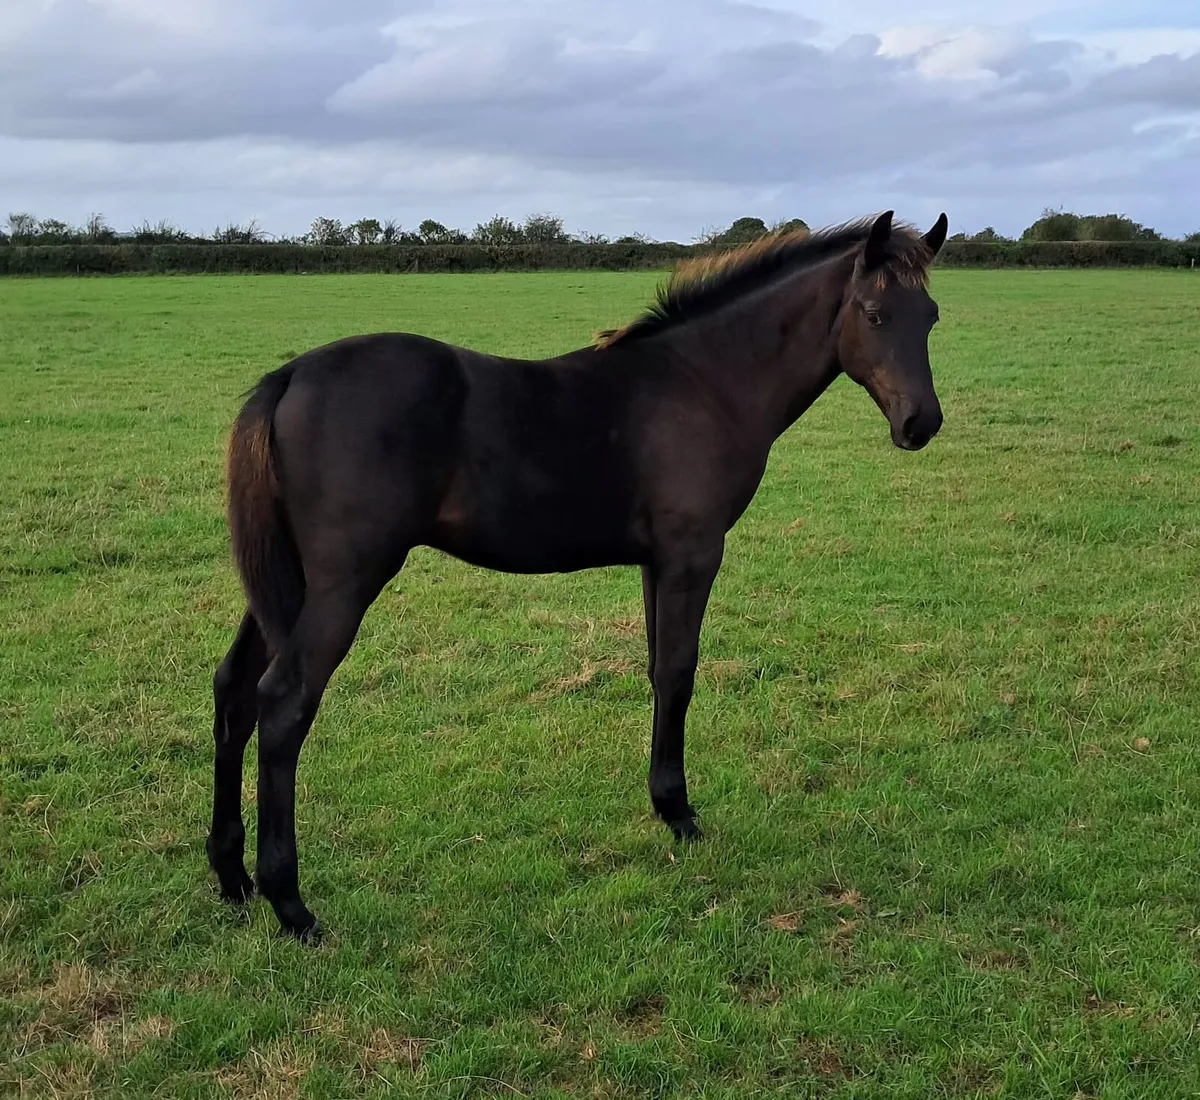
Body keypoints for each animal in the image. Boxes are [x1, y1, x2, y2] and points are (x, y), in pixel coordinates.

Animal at [207, 210, 949, 940]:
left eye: (932, 315)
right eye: (875, 314)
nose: (921, 423)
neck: (706, 382)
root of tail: (289, 378)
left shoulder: (657, 562)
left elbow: (658, 671)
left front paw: (664, 805)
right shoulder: (693, 554)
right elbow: (679, 672)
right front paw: (681, 815)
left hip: (286, 582)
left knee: (235, 691)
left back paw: (231, 875)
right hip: (345, 582)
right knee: (283, 704)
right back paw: (291, 904)